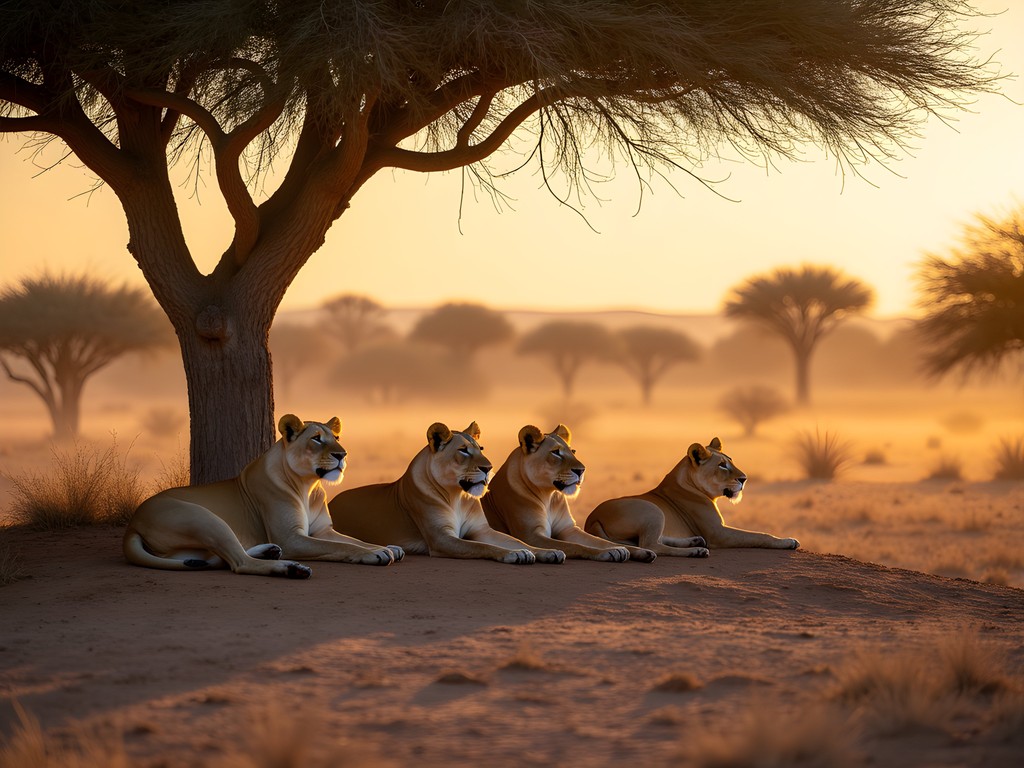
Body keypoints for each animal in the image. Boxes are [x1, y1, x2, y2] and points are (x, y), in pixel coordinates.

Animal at [123, 415, 403, 578]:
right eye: (316, 439)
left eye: (336, 437)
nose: (342, 455)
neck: (309, 485)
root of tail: (134, 522)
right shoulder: (291, 537)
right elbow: (340, 547)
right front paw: (376, 554)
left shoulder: (322, 530)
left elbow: (354, 540)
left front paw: (388, 547)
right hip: (205, 518)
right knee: (239, 563)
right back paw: (290, 568)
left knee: (220, 559)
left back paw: (270, 552)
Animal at [328, 422, 566, 565]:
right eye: (463, 451)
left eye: (481, 449)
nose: (488, 468)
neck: (457, 496)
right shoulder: (441, 538)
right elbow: (483, 546)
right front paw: (512, 554)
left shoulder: (482, 529)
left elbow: (518, 541)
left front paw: (545, 552)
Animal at [483, 424, 657, 563]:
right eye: (556, 453)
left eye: (573, 451)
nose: (581, 470)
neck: (549, 496)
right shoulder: (530, 534)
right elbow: (575, 546)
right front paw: (609, 552)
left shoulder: (569, 529)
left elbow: (602, 541)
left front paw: (638, 551)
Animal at [584, 437, 799, 555]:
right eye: (722, 465)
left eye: (731, 461)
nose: (744, 479)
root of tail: (593, 519)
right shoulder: (717, 533)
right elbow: (759, 535)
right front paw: (788, 541)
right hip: (653, 509)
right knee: (651, 545)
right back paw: (696, 551)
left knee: (654, 541)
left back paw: (695, 541)